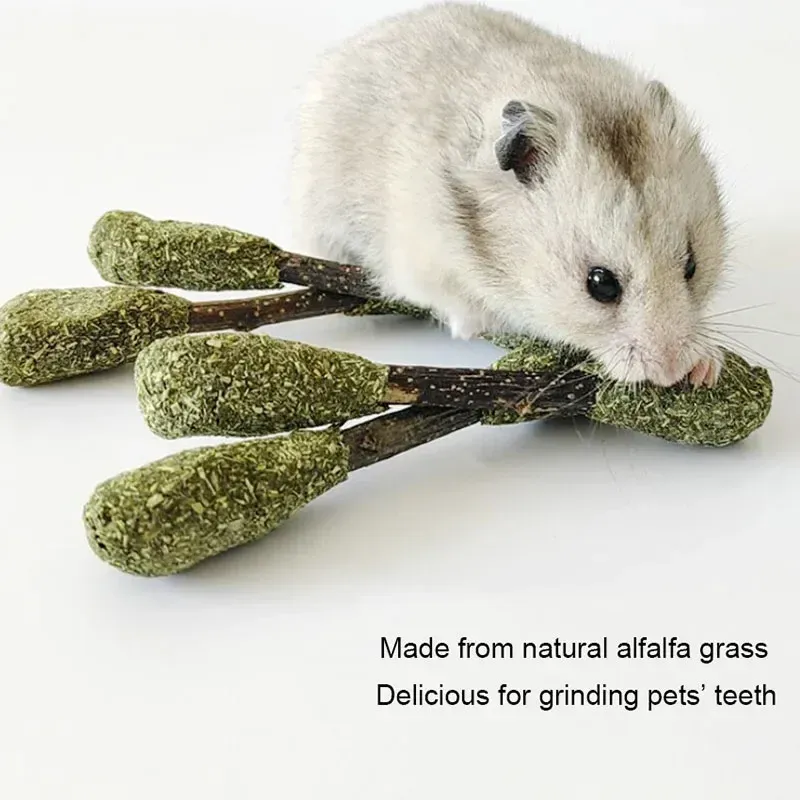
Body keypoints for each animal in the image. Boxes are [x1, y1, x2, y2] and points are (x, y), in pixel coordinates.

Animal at [289, 1, 728, 387]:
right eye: (600, 284)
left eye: (692, 265)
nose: (670, 373)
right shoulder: (420, 261)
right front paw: (476, 326)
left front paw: (706, 366)